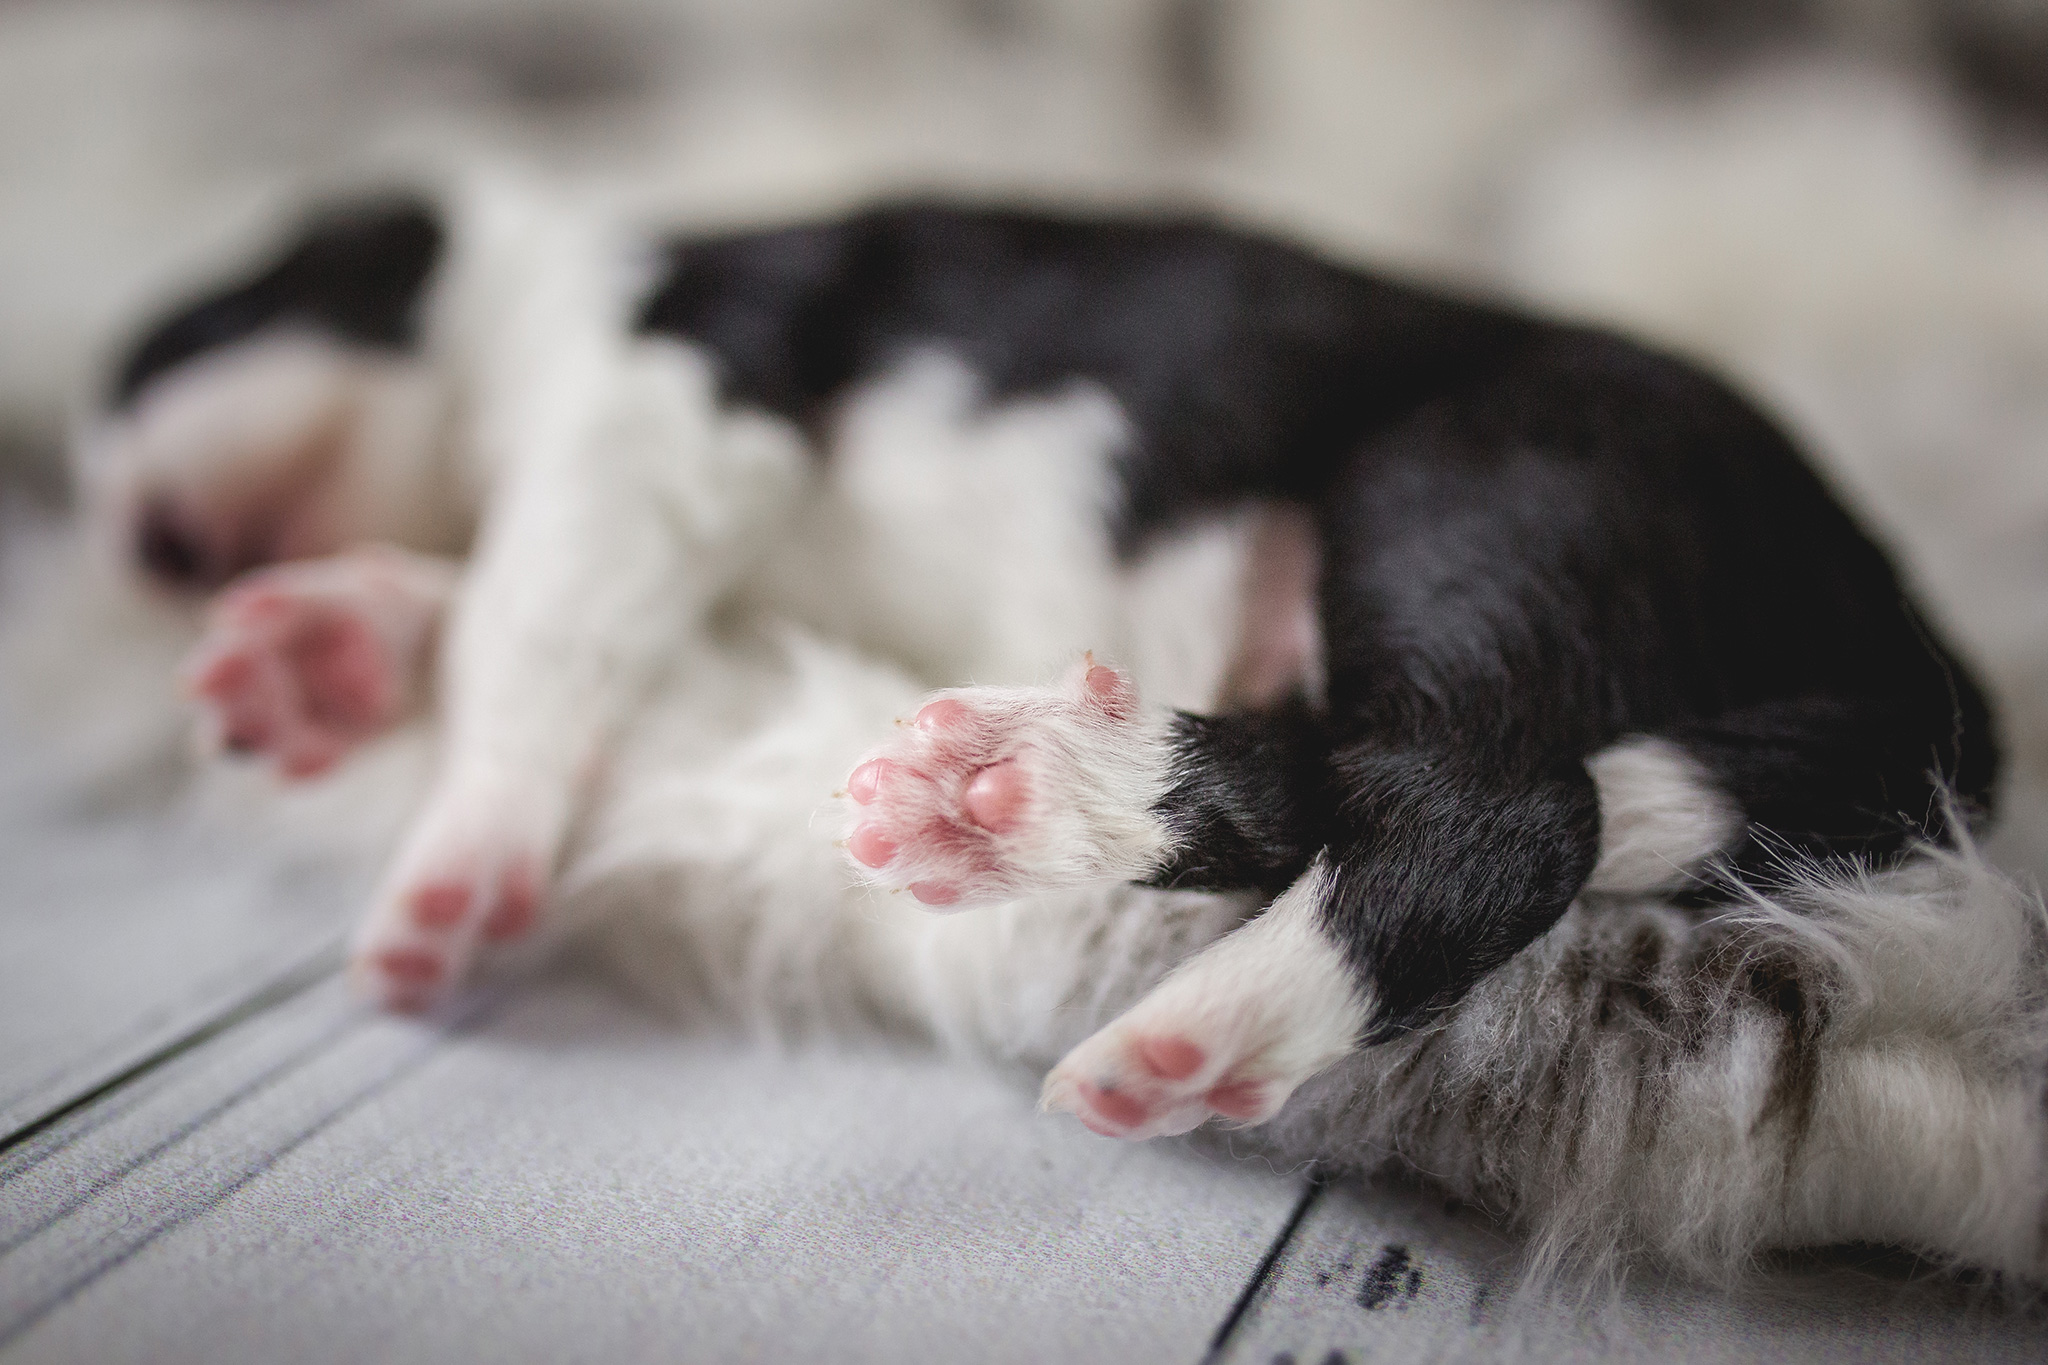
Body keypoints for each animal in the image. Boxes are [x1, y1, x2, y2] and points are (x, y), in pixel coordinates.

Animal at [75, 189, 2031, 1285]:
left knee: (1503, 804)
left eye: (175, 342)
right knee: (1384, 769)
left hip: (1488, 483)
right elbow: (567, 612)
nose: (125, 549)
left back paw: (1175, 999)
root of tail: (1911, 630)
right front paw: (335, 646)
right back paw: (1016, 802)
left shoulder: (674, 397)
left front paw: (452, 862)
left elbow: (534, 606)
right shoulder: (708, 557)